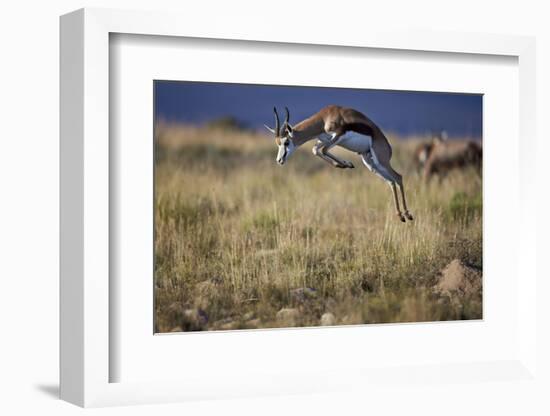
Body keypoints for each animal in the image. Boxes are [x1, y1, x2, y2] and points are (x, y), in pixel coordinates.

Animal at [266, 105, 414, 223]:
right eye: (277, 143)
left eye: (286, 142)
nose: (279, 160)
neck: (324, 118)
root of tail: (388, 147)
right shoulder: (324, 139)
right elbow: (316, 150)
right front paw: (345, 164)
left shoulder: (338, 136)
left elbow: (323, 150)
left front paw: (346, 164)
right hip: (370, 164)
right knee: (391, 182)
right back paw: (400, 215)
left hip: (381, 161)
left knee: (398, 177)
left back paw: (407, 214)